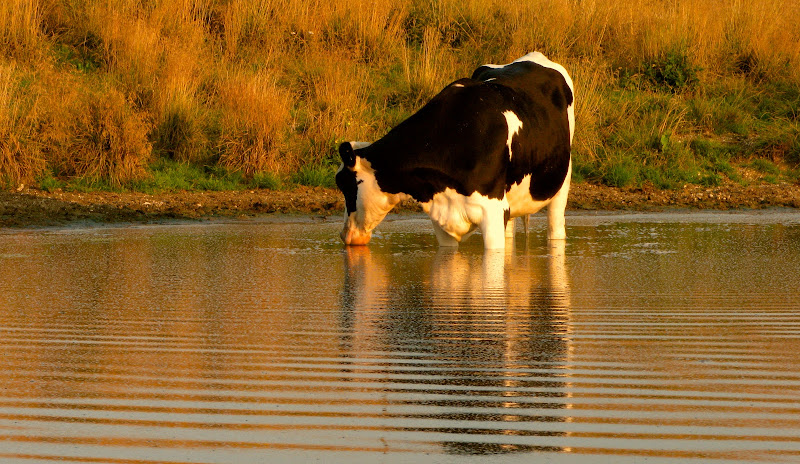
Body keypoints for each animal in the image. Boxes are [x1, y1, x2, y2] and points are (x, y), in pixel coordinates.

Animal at [334, 52, 572, 248]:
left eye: (346, 185)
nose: (344, 235)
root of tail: (534, 56)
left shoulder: (493, 213)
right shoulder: (442, 217)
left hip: (562, 182)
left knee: (556, 225)